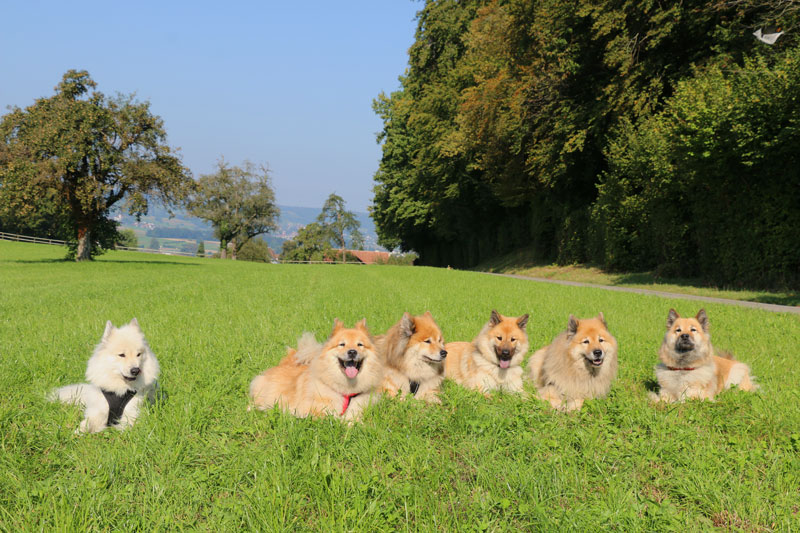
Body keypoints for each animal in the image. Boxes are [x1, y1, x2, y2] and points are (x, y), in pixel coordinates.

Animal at [252, 318, 386, 422]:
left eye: (360, 344)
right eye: (342, 344)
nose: (352, 352)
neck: (346, 391)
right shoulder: (311, 409)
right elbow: (330, 417)